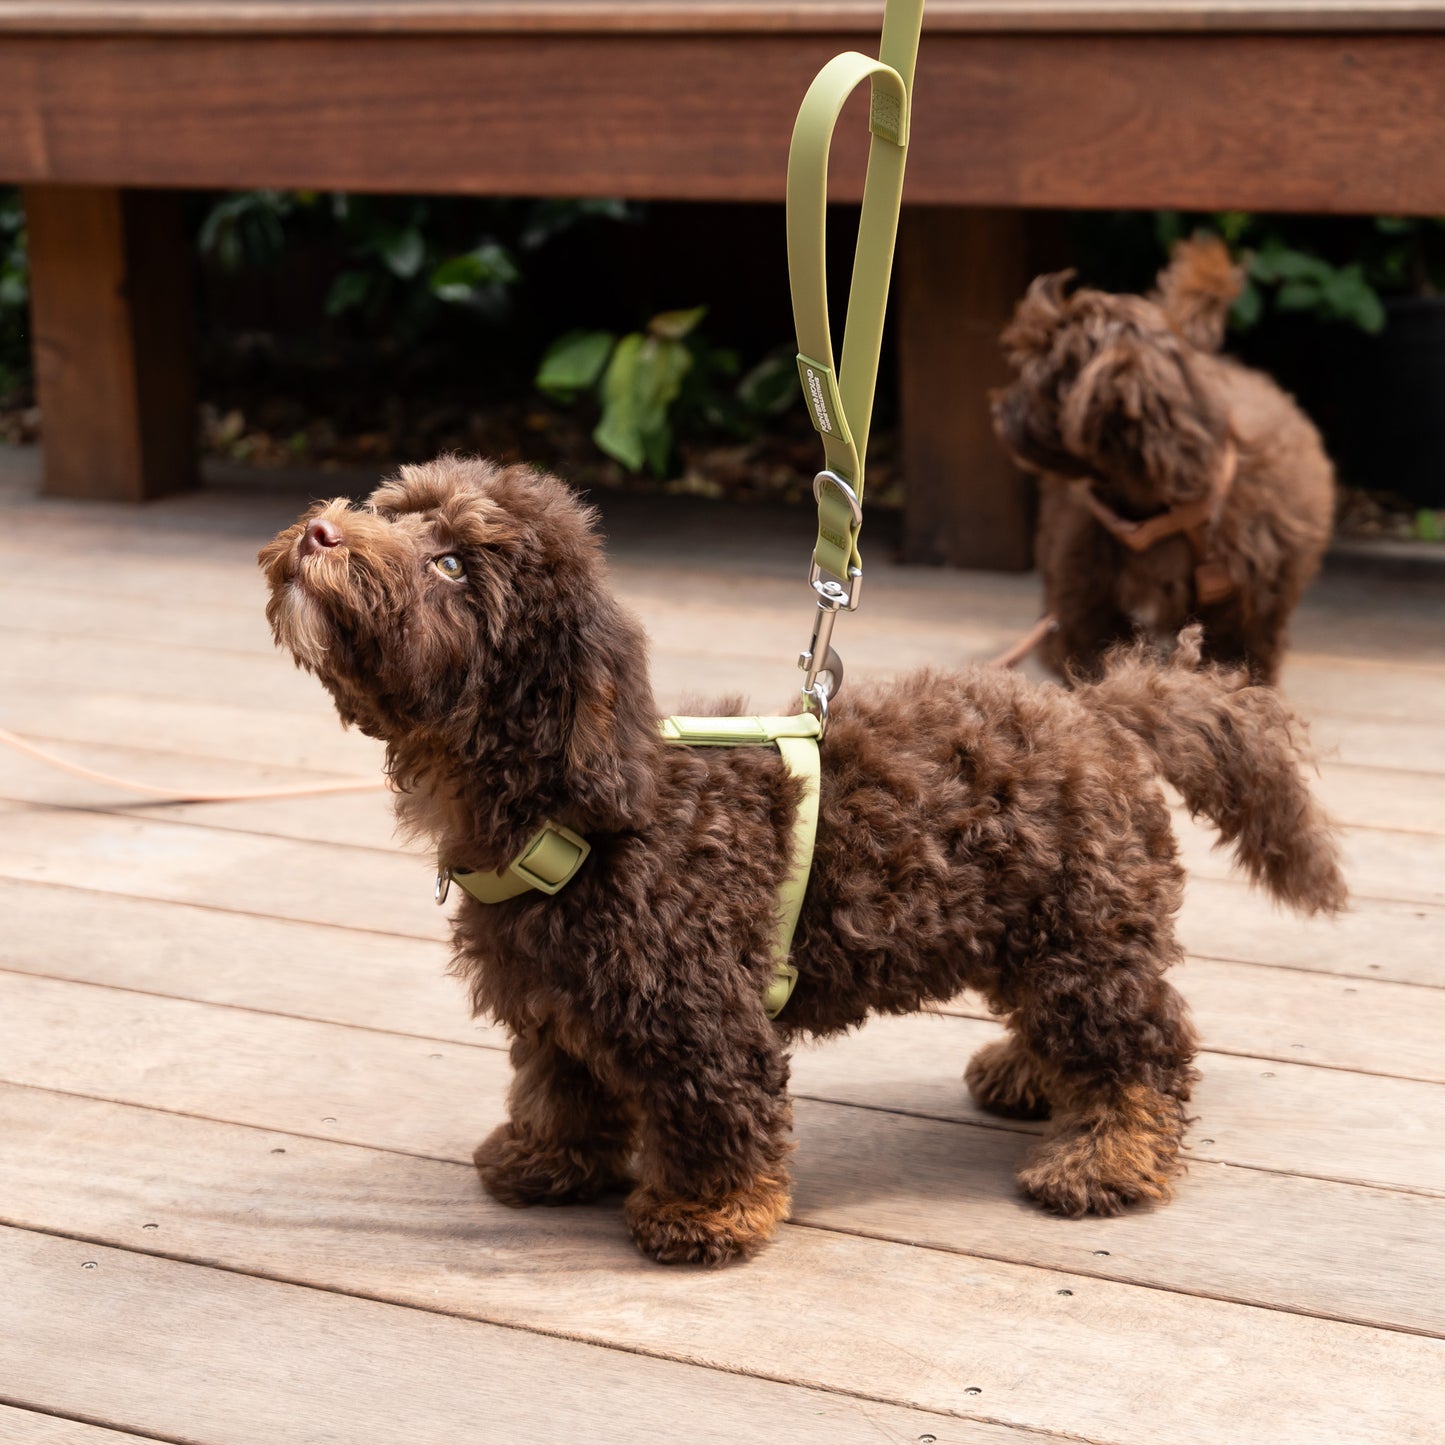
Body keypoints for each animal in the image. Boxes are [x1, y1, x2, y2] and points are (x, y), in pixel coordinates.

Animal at [257, 450, 1340, 1265]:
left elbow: (715, 1113)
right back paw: (1028, 1074)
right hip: (1043, 932)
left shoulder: (695, 1012)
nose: (319, 533)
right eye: (391, 510)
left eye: (450, 564)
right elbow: (559, 1085)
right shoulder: (556, 1003)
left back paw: (1105, 1160)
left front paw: (703, 1214)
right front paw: (544, 1157)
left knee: (1143, 1049)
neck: (572, 809)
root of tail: (1102, 709)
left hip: (1085, 937)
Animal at [994, 238, 1329, 687]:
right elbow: (1093, 655)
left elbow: (1238, 660)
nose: (1000, 410)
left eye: (1039, 380)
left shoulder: (1250, 605)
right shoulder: (1087, 592)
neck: (1163, 508)